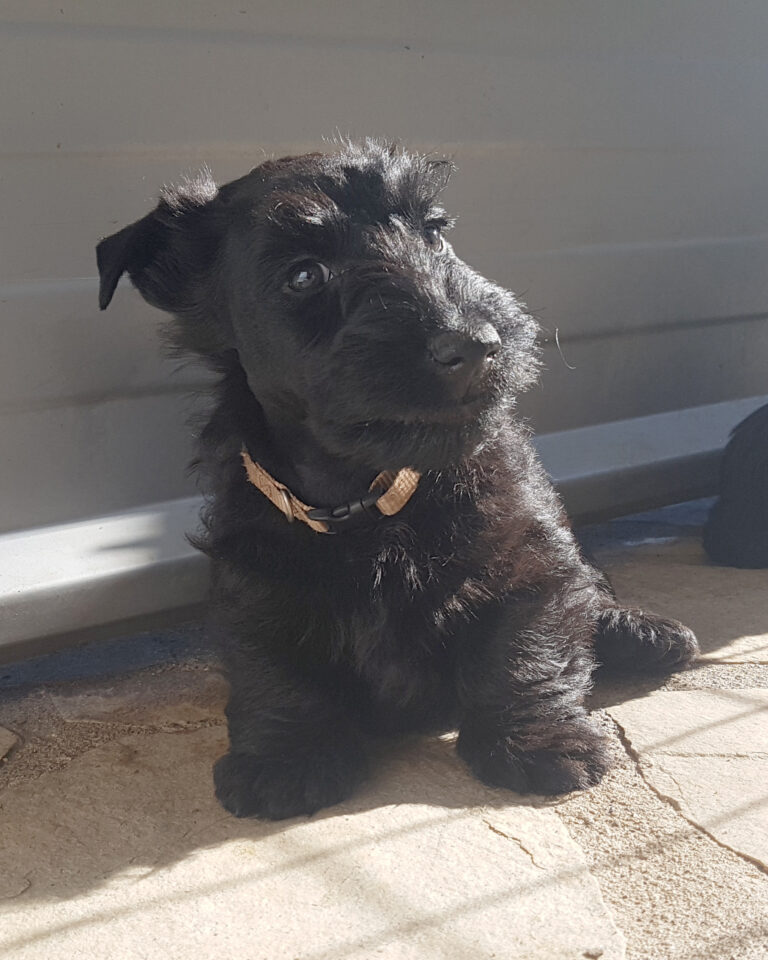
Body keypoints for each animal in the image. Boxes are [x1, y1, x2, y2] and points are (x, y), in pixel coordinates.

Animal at [94, 141, 696, 816]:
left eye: (434, 231)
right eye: (304, 275)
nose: (476, 342)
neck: (366, 496)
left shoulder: (528, 554)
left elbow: (524, 648)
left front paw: (537, 742)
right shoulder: (254, 575)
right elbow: (271, 665)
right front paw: (284, 758)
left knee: (592, 593)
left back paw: (642, 632)